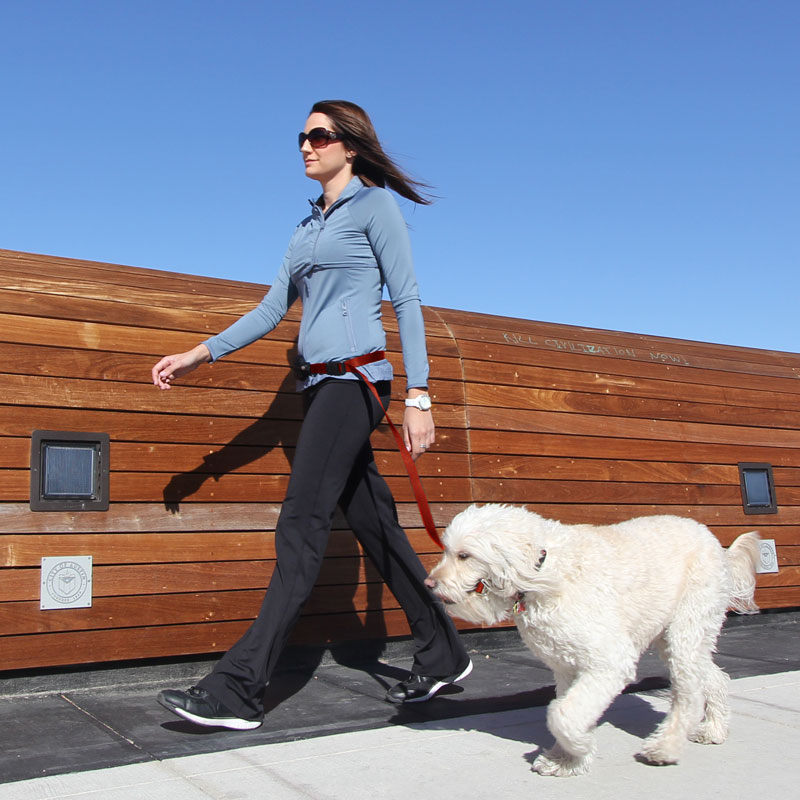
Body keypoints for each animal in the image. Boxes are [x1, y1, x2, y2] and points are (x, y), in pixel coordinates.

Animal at [425, 504, 761, 776]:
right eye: (447, 551)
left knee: (689, 696)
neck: (543, 570)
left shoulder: (609, 661)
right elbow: (567, 710)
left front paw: (581, 745)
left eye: (464, 555)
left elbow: (561, 715)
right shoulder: (566, 666)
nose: (429, 583)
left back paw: (664, 747)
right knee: (714, 678)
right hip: (679, 638)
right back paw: (714, 728)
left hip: (686, 631)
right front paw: (567, 761)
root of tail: (714, 542)